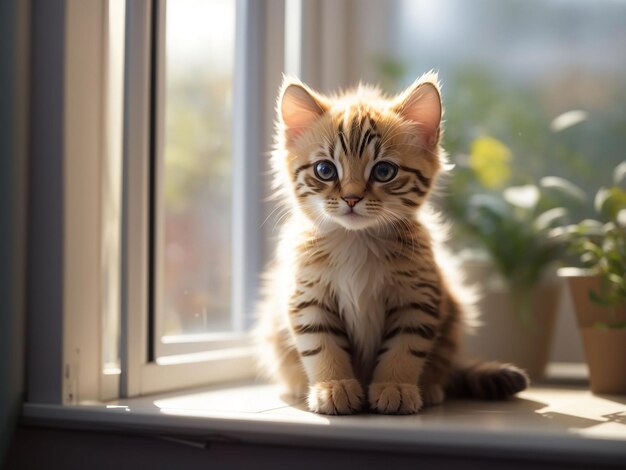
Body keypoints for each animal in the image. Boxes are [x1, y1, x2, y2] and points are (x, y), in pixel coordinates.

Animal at [254, 72, 528, 414]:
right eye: (325, 170)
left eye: (384, 171)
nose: (351, 198)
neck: (357, 240)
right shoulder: (309, 299)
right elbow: (322, 347)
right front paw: (333, 385)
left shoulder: (417, 299)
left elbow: (405, 349)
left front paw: (395, 387)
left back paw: (431, 388)